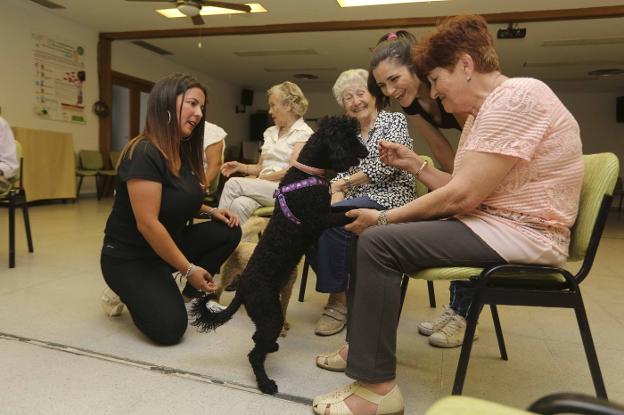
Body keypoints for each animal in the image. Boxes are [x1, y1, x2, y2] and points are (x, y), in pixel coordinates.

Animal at [190, 115, 366, 394]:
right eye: (348, 138)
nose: (367, 151)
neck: (306, 173)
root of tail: (242, 289)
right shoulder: (320, 219)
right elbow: (344, 214)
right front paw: (365, 212)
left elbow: (344, 209)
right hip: (270, 314)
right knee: (254, 354)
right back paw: (265, 383)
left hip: (266, 313)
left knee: (257, 339)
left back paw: (271, 348)